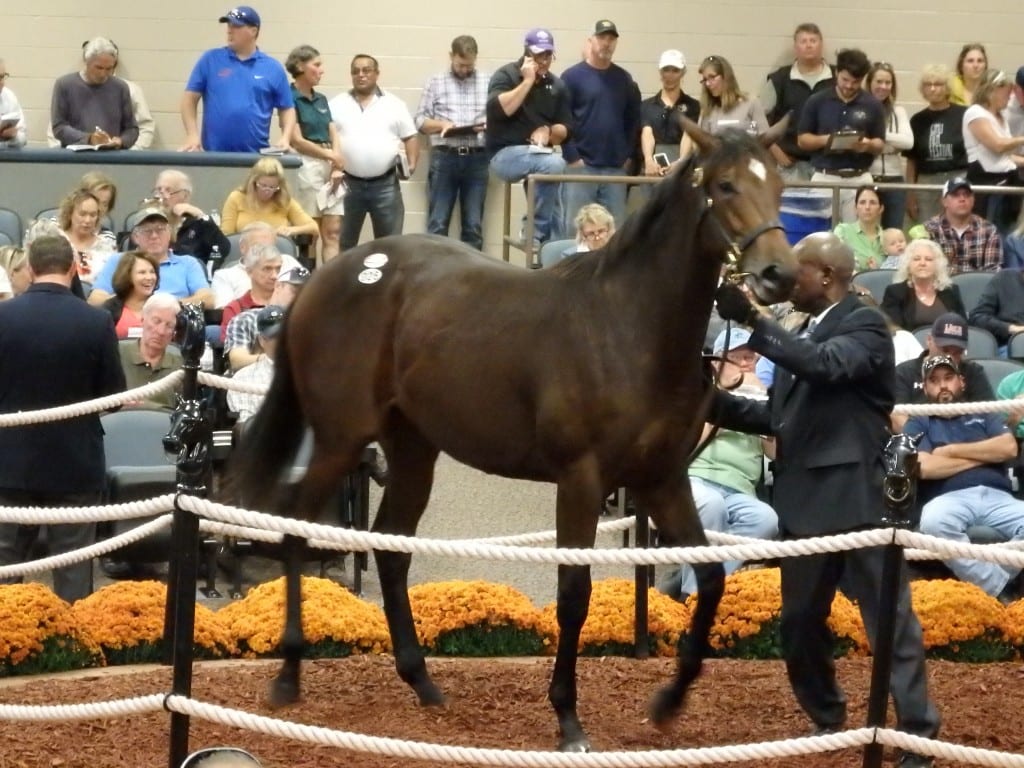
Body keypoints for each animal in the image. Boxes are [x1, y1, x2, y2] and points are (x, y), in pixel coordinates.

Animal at [232, 124, 798, 753]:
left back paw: (423, 682)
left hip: (414, 449)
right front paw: (569, 719)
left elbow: (713, 578)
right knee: (297, 530)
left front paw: (668, 702)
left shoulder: (661, 480)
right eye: (724, 186)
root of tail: (329, 275)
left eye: (778, 183)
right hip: (340, 440)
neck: (626, 327)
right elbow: (574, 594)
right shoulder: (580, 480)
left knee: (391, 546)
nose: (779, 274)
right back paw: (288, 676)